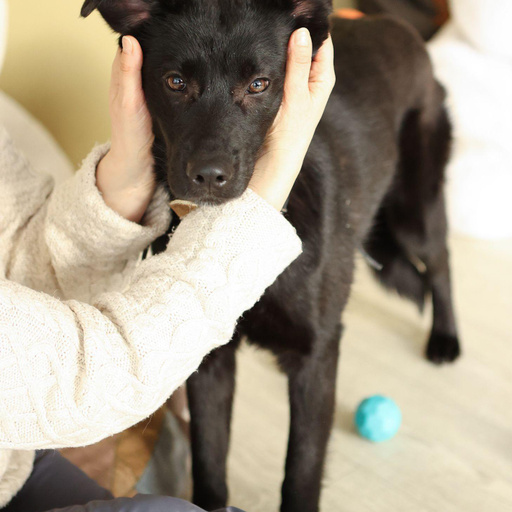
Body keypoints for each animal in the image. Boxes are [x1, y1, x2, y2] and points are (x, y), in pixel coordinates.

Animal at [82, 1, 461, 511]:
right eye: (175, 82)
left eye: (259, 84)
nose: (208, 176)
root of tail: (393, 25)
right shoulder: (208, 359)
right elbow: (209, 460)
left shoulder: (316, 357)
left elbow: (301, 470)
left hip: (414, 210)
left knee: (440, 262)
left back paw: (445, 338)